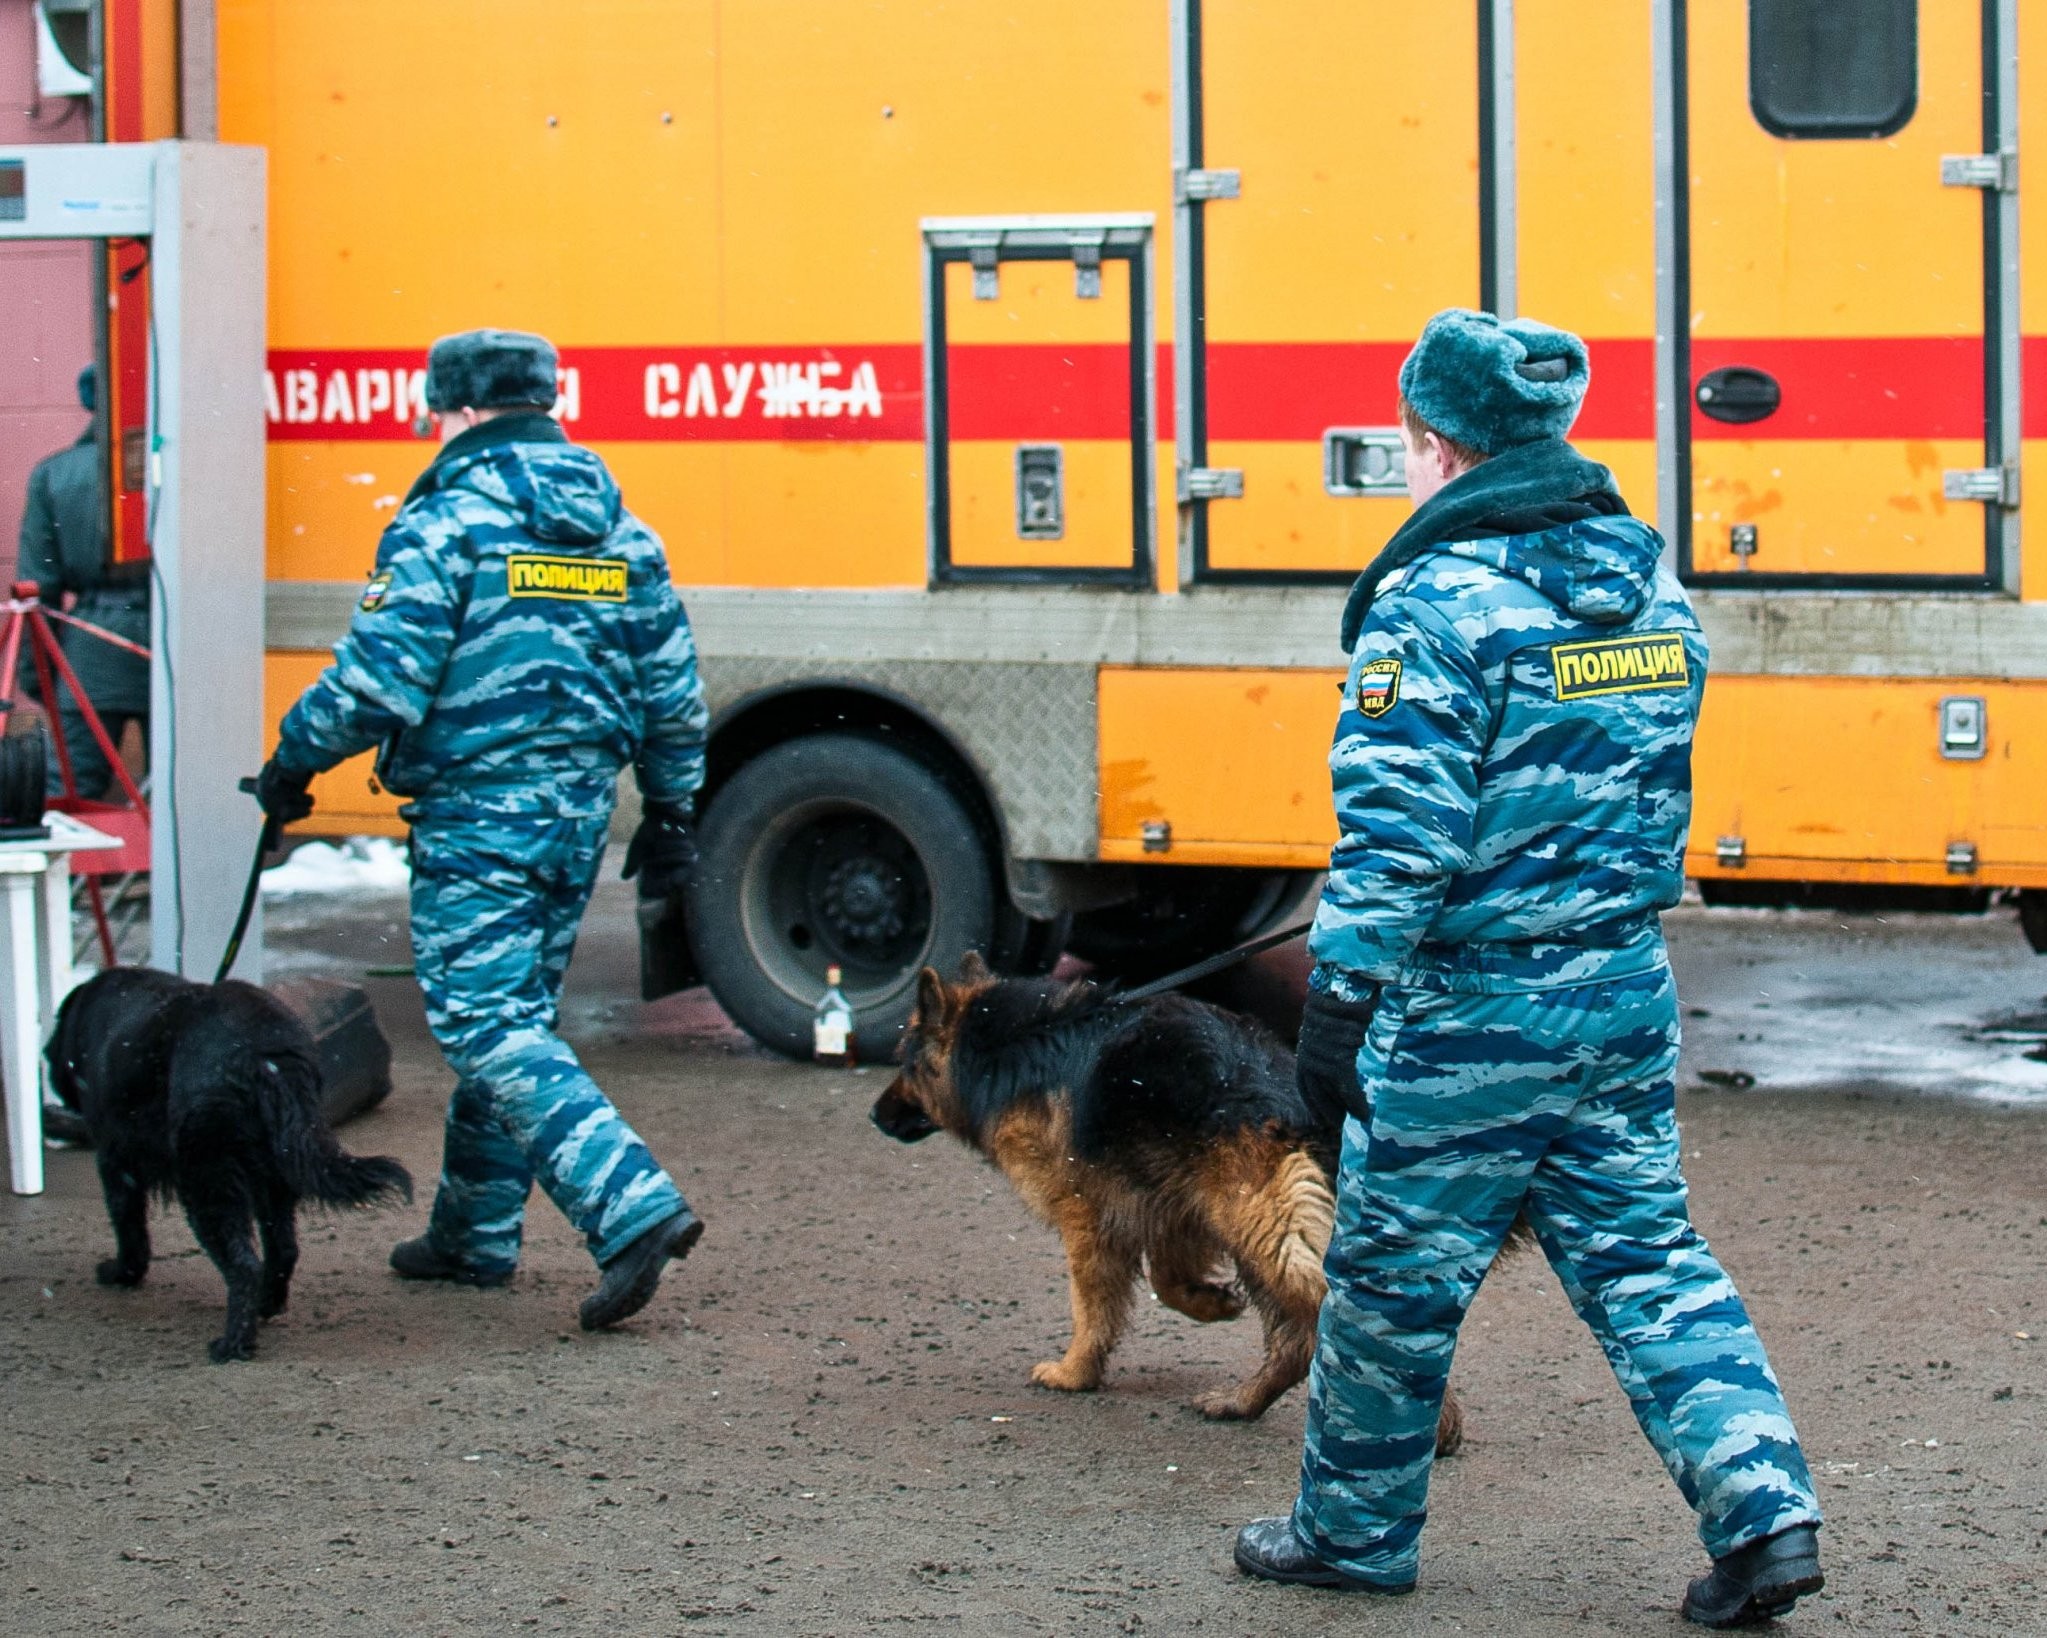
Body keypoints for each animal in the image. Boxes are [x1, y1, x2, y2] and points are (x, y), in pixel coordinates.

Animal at [45, 966, 411, 1359]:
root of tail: (263, 1054)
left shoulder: (116, 1160)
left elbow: (129, 1228)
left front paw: (121, 1273)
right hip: (273, 1174)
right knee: (283, 1249)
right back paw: (267, 1305)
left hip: (206, 1181)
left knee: (244, 1265)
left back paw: (232, 1344)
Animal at [872, 958, 1465, 1449]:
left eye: (904, 1063)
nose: (875, 1116)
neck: (1009, 1043)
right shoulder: (1172, 1201)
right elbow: (1167, 1280)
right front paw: (1211, 1302)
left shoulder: (1088, 1217)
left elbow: (1093, 1307)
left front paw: (1075, 1372)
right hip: (1247, 1219)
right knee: (1303, 1336)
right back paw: (1244, 1402)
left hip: (1259, 1228)